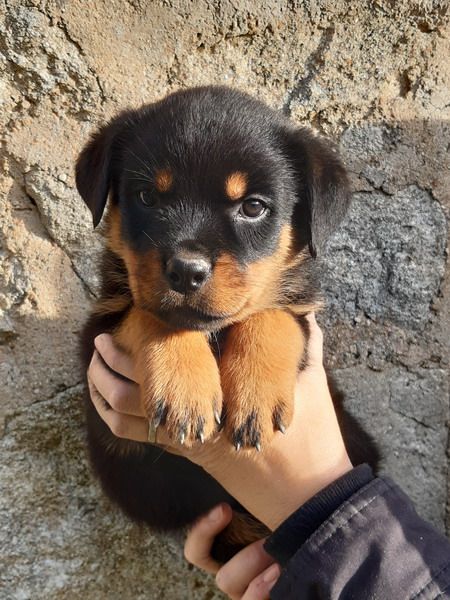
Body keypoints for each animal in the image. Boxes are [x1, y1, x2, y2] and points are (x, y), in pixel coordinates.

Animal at [77, 86, 378, 560]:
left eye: (253, 207)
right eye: (147, 198)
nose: (186, 271)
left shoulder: (301, 310)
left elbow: (272, 316)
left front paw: (255, 396)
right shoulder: (101, 353)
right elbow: (151, 315)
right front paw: (184, 391)